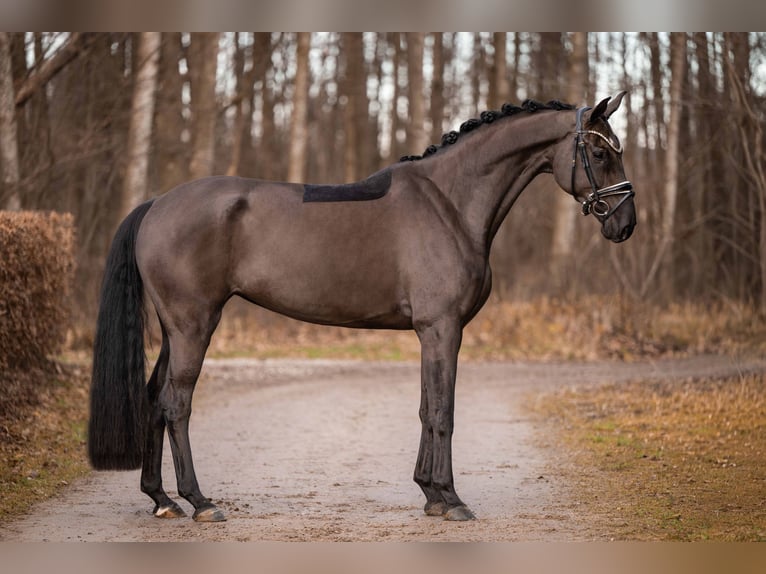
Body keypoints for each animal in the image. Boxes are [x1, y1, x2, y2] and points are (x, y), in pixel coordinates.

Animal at [88, 92, 636, 523]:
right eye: (598, 151)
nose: (625, 223)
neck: (450, 203)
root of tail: (157, 204)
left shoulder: (430, 332)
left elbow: (425, 407)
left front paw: (430, 494)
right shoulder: (443, 328)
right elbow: (444, 411)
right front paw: (452, 498)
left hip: (173, 329)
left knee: (154, 397)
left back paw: (161, 499)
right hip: (193, 324)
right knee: (176, 404)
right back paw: (200, 501)